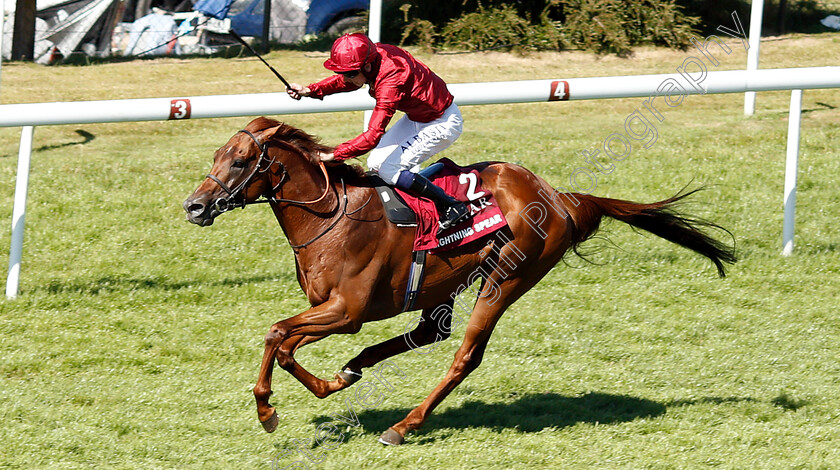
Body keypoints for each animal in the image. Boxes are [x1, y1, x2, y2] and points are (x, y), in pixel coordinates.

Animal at [184, 116, 736, 444]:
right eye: (214, 156)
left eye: (239, 160)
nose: (194, 206)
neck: (332, 215)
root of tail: (558, 196)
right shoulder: (333, 310)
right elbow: (283, 342)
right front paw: (327, 384)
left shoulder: (347, 311)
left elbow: (277, 335)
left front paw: (271, 409)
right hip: (446, 285)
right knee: (431, 331)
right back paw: (355, 372)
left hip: (507, 278)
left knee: (464, 354)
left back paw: (403, 426)